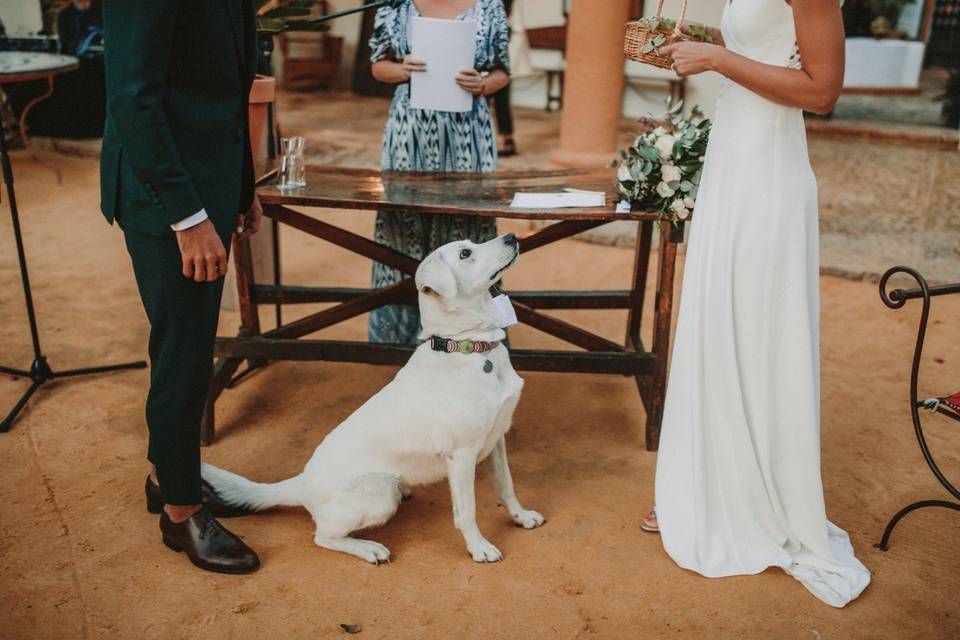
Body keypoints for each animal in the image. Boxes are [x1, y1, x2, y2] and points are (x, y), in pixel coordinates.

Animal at [203, 234, 544, 560]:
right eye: (465, 254)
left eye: (472, 244)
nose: (512, 236)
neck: (468, 347)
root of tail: (301, 482)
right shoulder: (461, 456)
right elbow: (468, 511)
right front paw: (478, 547)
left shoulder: (497, 439)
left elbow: (506, 485)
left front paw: (521, 516)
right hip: (381, 489)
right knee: (323, 536)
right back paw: (368, 548)